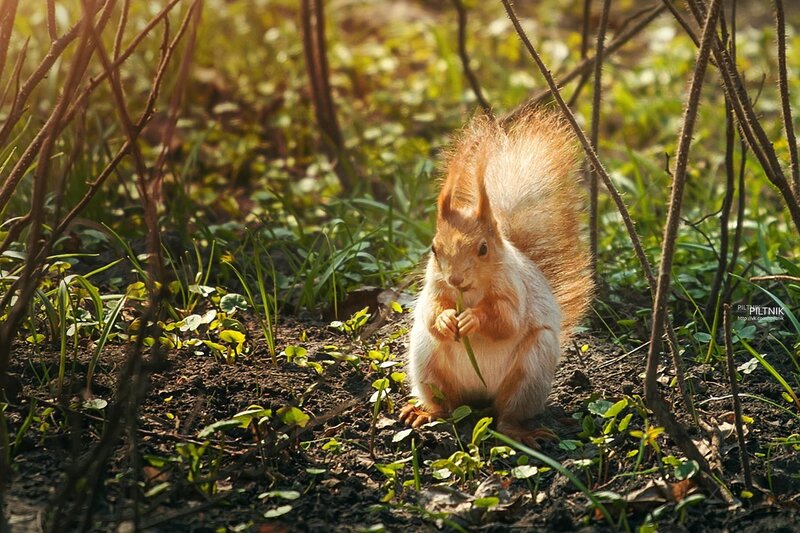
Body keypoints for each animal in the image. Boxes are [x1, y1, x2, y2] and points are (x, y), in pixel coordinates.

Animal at [399, 107, 594, 445]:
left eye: (483, 249)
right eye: (434, 249)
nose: (456, 280)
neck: (470, 293)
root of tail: (479, 395)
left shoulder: (514, 288)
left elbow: (506, 321)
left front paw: (472, 319)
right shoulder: (434, 287)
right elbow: (430, 313)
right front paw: (446, 319)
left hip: (530, 372)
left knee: (506, 416)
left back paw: (521, 431)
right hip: (427, 363)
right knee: (447, 405)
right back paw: (425, 413)